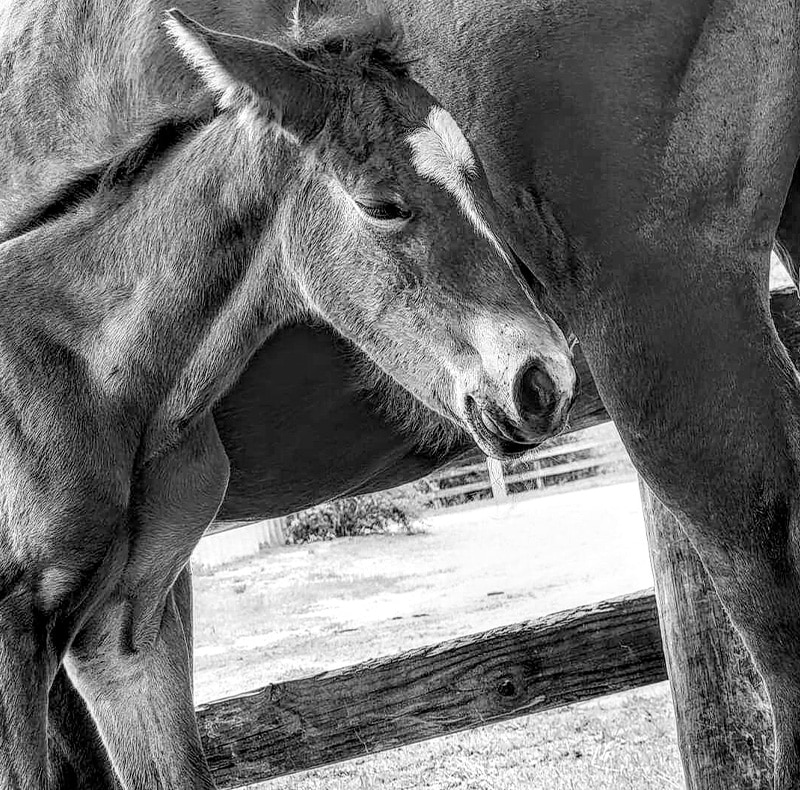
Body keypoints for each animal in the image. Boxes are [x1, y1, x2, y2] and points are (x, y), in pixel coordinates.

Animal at [3, 1, 800, 788]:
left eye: (476, 183)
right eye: (382, 206)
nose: (542, 381)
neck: (71, 356)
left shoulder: (120, 629)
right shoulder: (83, 634)